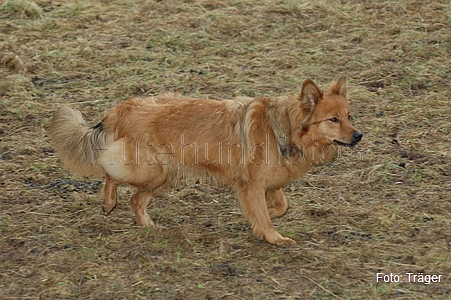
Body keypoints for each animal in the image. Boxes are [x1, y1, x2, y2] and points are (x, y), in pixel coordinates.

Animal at [49, 75, 362, 246]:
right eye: (333, 120)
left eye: (349, 116)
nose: (359, 136)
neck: (285, 127)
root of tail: (122, 107)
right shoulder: (251, 183)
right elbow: (263, 213)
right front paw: (273, 236)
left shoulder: (269, 183)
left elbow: (280, 207)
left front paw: (263, 219)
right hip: (151, 170)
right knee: (110, 172)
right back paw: (108, 202)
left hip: (167, 176)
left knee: (136, 199)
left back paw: (149, 226)